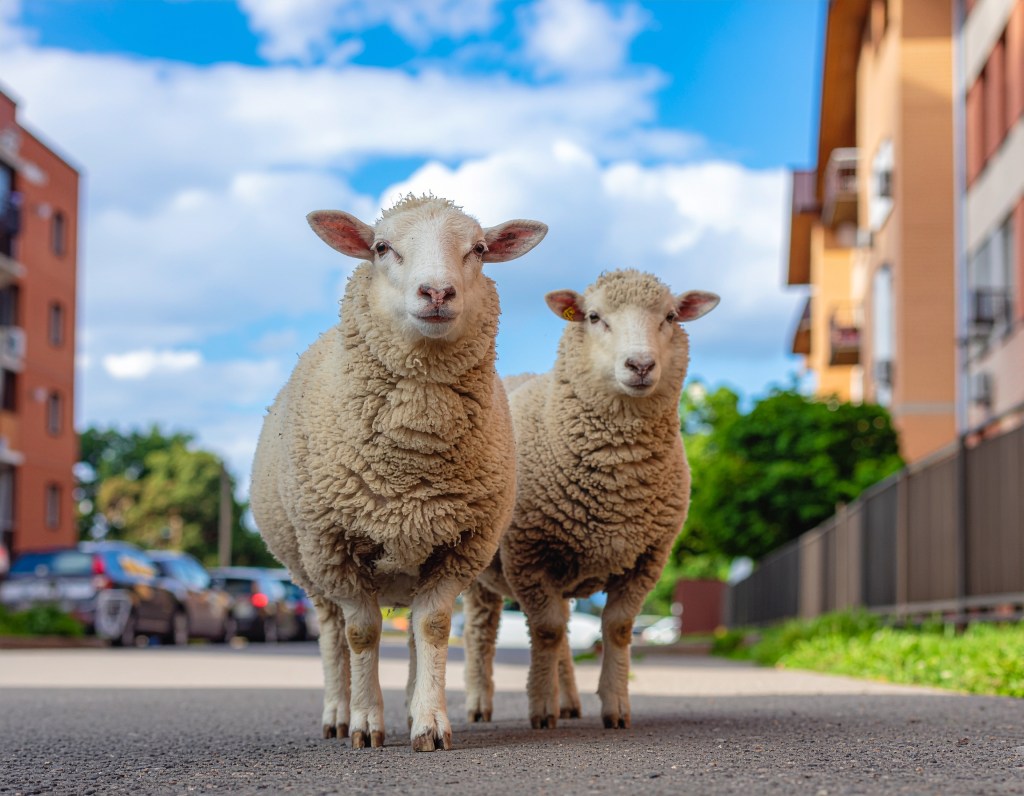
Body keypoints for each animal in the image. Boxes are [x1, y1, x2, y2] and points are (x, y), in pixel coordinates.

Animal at [250, 195, 547, 752]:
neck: (412, 465)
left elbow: (432, 629)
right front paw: (366, 724)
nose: (437, 292)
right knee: (332, 635)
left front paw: (429, 721)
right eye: (382, 247)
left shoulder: (456, 547)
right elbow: (361, 634)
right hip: (310, 569)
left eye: (478, 249)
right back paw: (337, 713)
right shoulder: (335, 547)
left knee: (410, 633)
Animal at [463, 269, 719, 730]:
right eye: (595, 317)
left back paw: (568, 701)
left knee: (565, 629)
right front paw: (539, 708)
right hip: (480, 571)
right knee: (482, 630)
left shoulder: (647, 559)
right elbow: (544, 630)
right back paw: (479, 702)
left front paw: (615, 707)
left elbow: (615, 628)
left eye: (671, 317)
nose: (640, 365)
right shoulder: (527, 553)